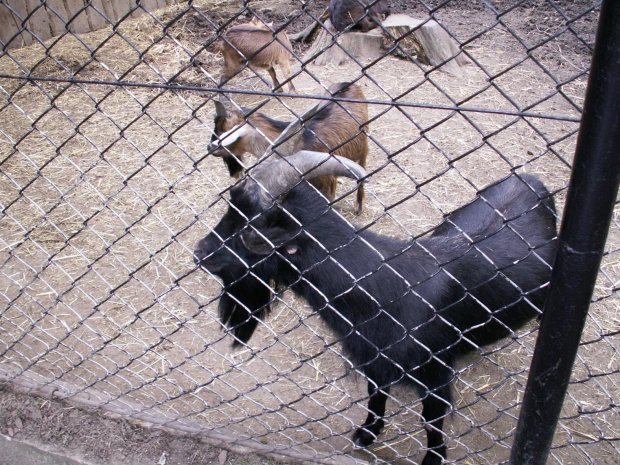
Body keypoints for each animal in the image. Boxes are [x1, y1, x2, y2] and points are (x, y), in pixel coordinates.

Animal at [195, 152, 556, 464]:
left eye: (248, 229)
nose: (199, 252)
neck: (383, 288)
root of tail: (531, 179)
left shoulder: (434, 374)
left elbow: (431, 421)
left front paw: (433, 458)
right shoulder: (374, 359)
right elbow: (376, 396)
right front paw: (367, 434)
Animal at [208, 82, 368, 213]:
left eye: (222, 129)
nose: (209, 148)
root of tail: (349, 84)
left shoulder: (325, 180)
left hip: (364, 141)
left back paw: (359, 205)